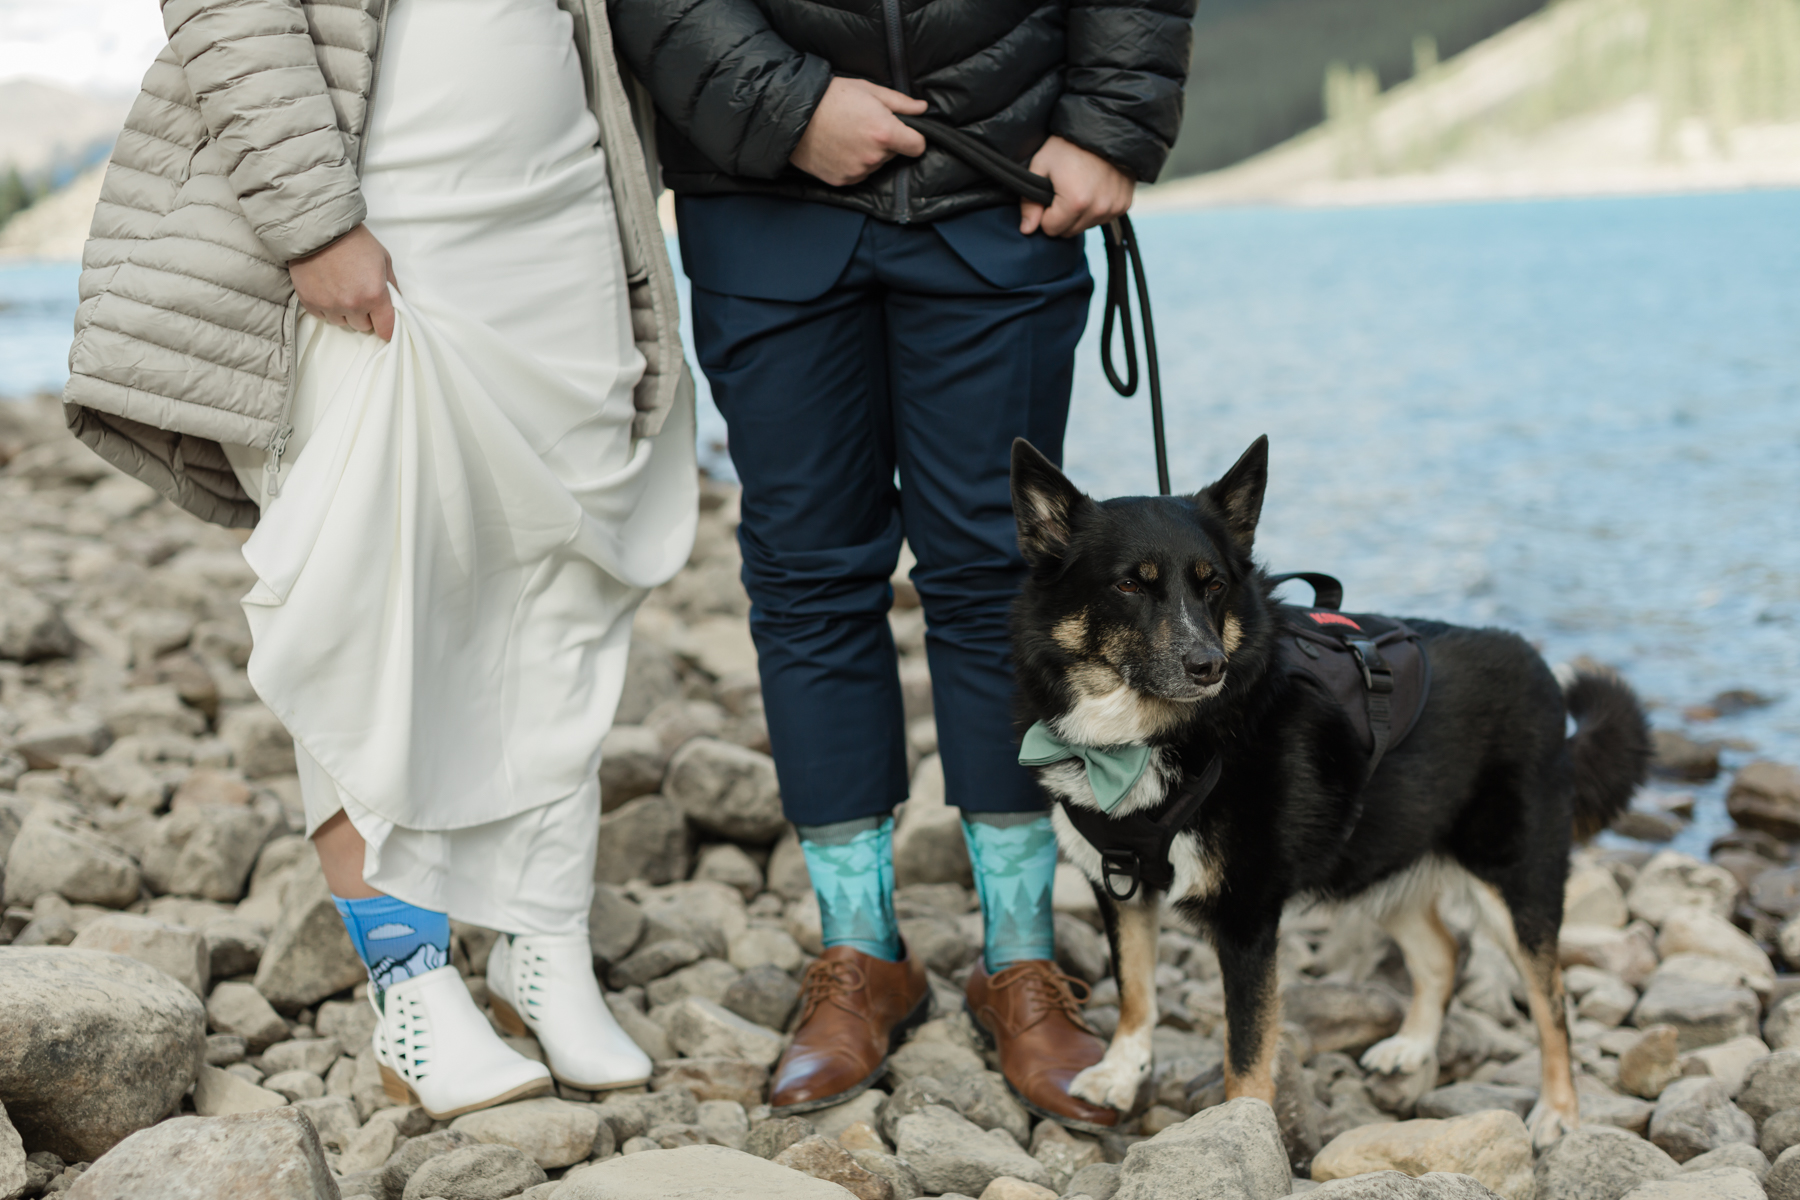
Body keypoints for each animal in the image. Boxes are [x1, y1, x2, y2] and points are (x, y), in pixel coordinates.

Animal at [1008, 437, 1648, 1151]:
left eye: (1215, 586)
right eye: (1127, 584)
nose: (1209, 667)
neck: (1144, 740)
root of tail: (1539, 667)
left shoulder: (1248, 919)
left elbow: (1247, 1050)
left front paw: (1243, 1131)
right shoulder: (1118, 886)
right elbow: (1135, 989)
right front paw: (1121, 1074)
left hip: (1516, 876)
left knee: (1550, 1000)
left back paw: (1559, 1111)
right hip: (1381, 851)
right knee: (1443, 953)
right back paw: (1411, 1047)